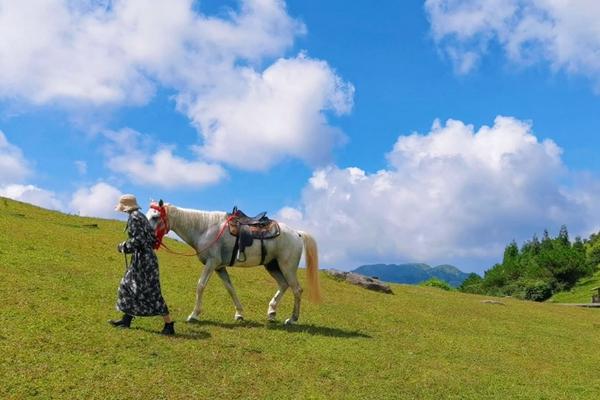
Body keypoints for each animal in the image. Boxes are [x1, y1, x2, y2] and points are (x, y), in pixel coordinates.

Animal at [146, 200, 322, 324]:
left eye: (155, 217)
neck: (204, 229)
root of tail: (297, 233)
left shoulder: (211, 263)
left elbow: (200, 285)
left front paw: (194, 315)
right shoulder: (220, 267)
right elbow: (230, 288)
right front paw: (239, 314)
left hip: (287, 267)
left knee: (297, 290)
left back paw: (292, 319)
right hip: (272, 265)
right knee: (284, 285)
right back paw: (271, 312)